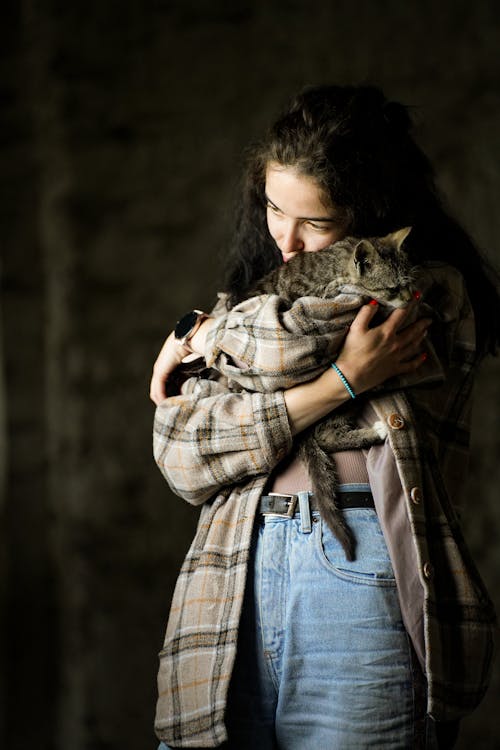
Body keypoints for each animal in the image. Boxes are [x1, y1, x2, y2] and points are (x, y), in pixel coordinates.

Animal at [248, 226, 416, 560]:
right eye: (393, 288)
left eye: (408, 283)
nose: (407, 299)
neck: (333, 262)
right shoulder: (300, 297)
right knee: (326, 435)